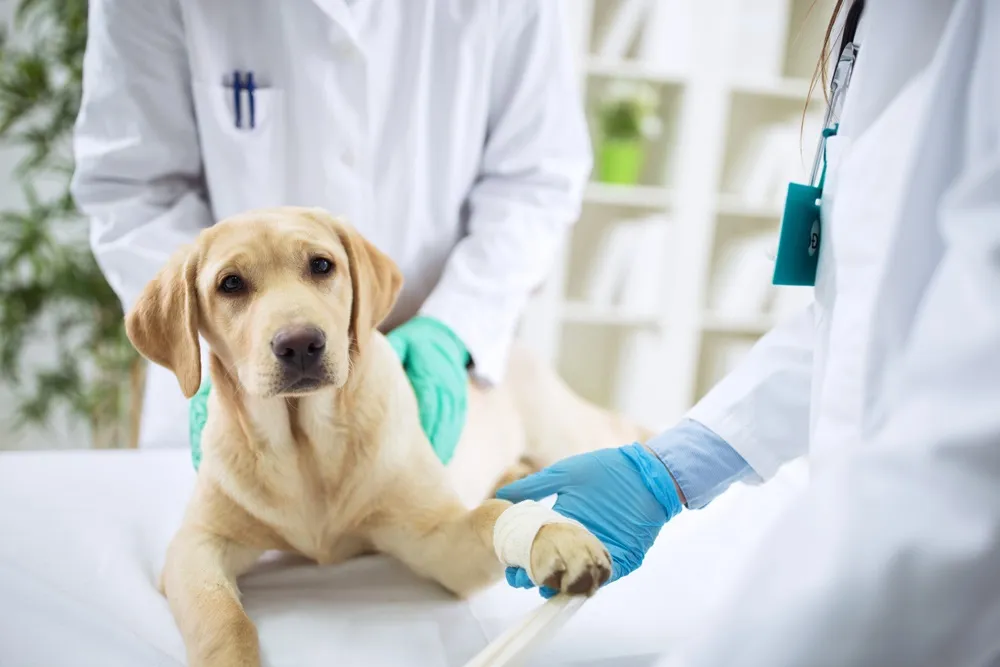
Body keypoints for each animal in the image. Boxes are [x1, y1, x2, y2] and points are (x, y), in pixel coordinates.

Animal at [125, 206, 652, 664]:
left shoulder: (437, 541)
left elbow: (490, 515)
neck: (304, 446)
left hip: (566, 430)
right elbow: (222, 619)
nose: (300, 343)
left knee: (617, 429)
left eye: (322, 265)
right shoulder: (196, 546)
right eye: (230, 283)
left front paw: (552, 535)